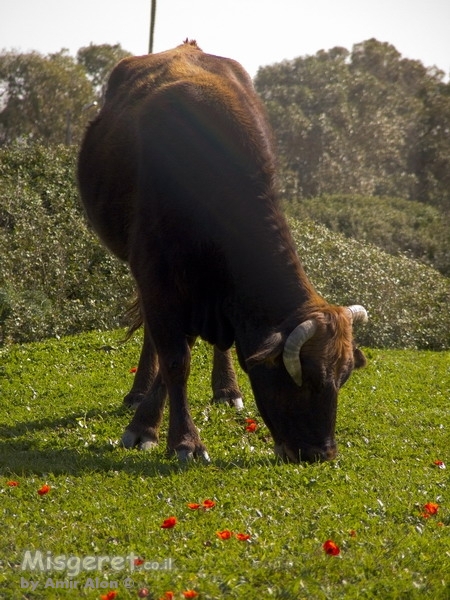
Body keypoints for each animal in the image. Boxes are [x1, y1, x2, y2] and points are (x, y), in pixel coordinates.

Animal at [78, 41, 366, 464]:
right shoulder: (157, 277)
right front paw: (174, 438)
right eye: (306, 380)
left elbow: (184, 351)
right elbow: (174, 359)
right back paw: (137, 394)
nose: (322, 453)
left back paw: (226, 390)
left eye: (342, 379)